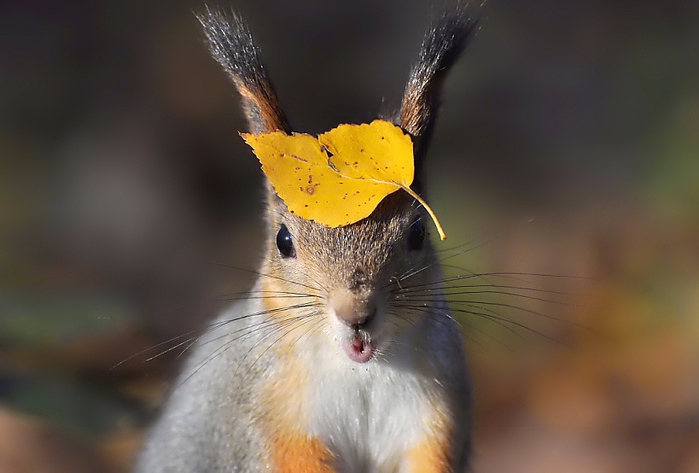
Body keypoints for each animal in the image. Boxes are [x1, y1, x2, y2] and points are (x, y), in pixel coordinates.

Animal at [135, 4, 478, 472]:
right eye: (283, 241)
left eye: (417, 232)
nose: (356, 314)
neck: (361, 372)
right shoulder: (269, 415)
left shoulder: (437, 414)